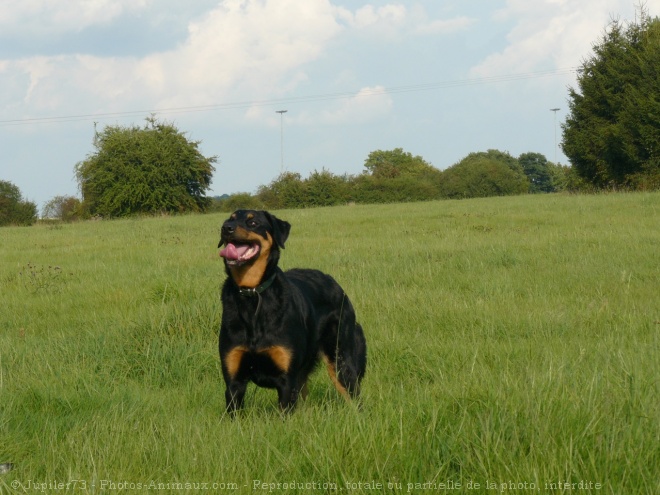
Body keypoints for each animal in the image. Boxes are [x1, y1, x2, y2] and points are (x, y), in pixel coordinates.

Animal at [219, 209, 368, 414]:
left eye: (253, 222)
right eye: (230, 219)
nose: (226, 228)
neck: (253, 294)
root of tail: (336, 285)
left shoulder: (286, 381)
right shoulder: (234, 381)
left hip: (340, 359)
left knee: (353, 395)